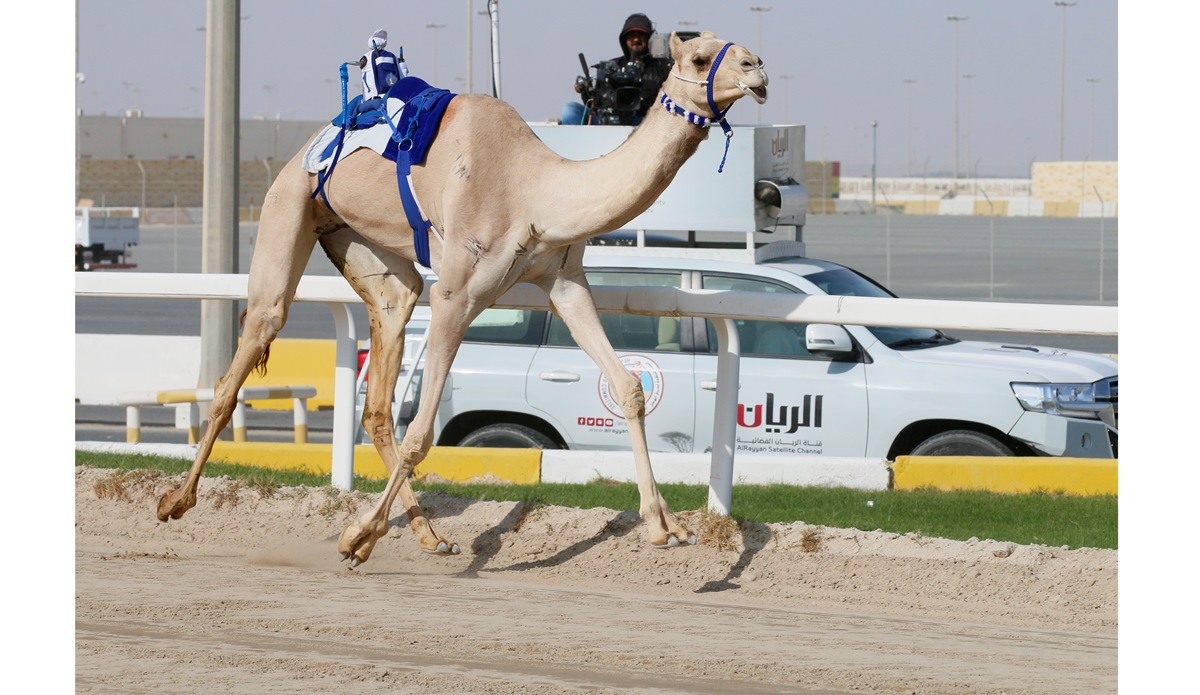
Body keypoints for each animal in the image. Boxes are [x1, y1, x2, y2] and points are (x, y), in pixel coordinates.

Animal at [157, 29, 768, 568]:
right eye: (700, 57)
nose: (757, 69)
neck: (536, 192)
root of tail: (312, 143)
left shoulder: (564, 282)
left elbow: (628, 387)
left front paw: (665, 526)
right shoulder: (456, 292)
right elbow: (423, 434)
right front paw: (354, 539)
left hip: (368, 254)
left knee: (381, 385)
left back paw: (430, 537)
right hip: (289, 205)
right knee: (251, 343)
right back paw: (175, 501)